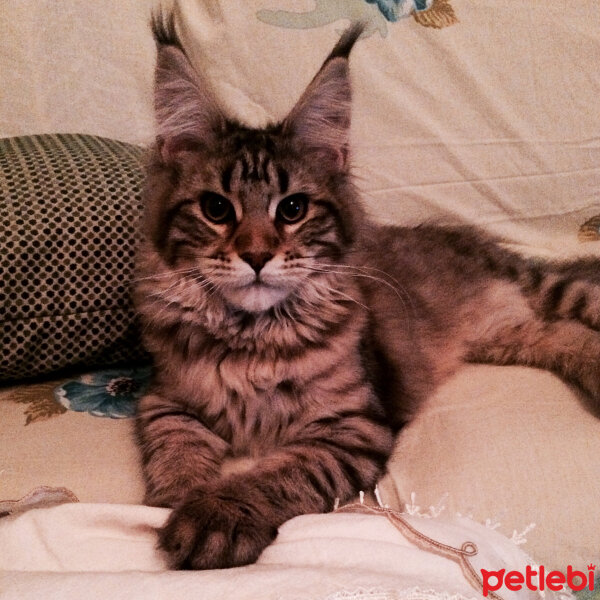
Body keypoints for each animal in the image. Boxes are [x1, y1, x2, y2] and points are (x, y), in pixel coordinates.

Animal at [135, 12, 600, 568]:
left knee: (582, 307)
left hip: (541, 286)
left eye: (292, 209)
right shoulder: (164, 399)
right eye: (216, 209)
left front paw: (216, 515)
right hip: (510, 333)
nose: (256, 256)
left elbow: (279, 472)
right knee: (560, 333)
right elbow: (176, 450)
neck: (253, 338)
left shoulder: (353, 426)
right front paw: (176, 499)